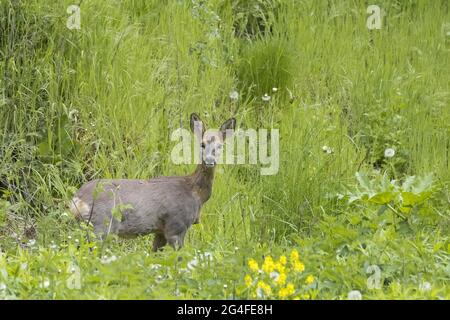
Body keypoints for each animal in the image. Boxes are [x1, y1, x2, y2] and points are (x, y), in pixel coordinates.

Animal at [69, 114, 236, 251]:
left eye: (220, 146)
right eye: (202, 144)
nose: (209, 161)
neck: (195, 192)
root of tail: (77, 199)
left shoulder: (160, 231)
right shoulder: (176, 225)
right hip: (103, 224)